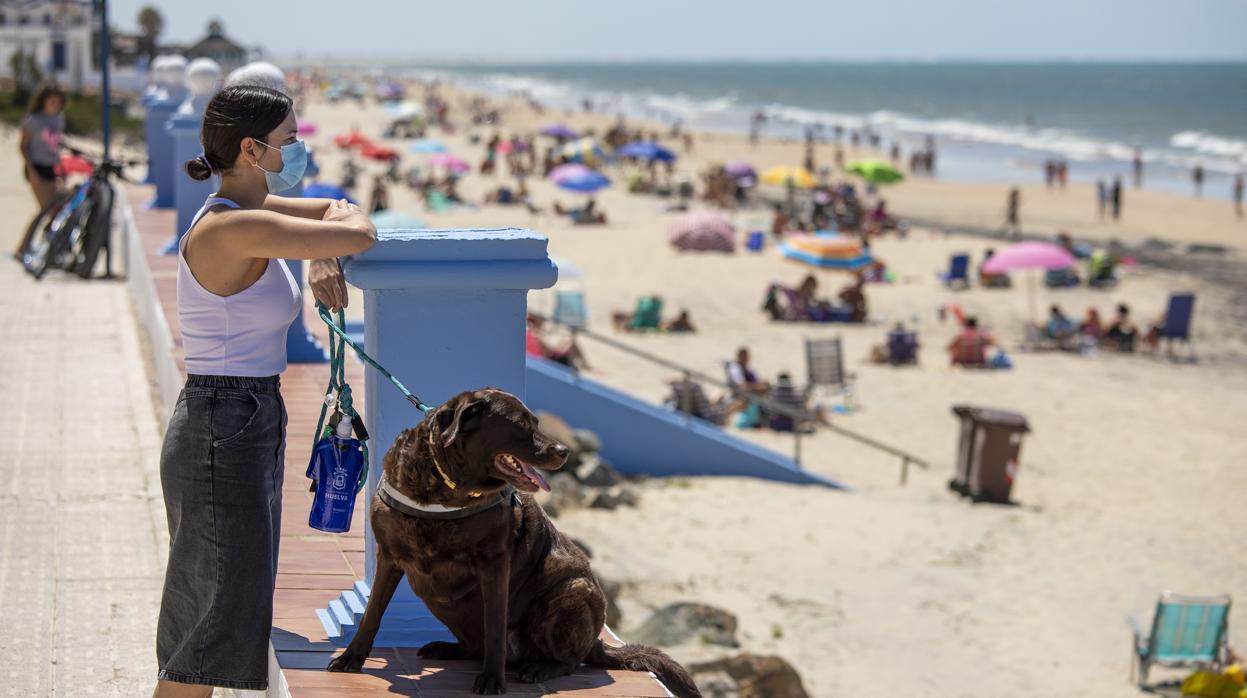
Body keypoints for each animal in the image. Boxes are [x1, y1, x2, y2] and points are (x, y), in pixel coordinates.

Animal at [324, 388, 703, 693]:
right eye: (520, 425)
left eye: (536, 422)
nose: (564, 451)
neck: (446, 490)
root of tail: (596, 642)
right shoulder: (389, 556)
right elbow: (372, 613)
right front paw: (351, 658)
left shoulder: (494, 564)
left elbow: (495, 626)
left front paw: (492, 680)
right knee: (477, 645)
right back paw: (448, 648)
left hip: (572, 592)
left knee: (568, 659)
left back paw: (540, 668)